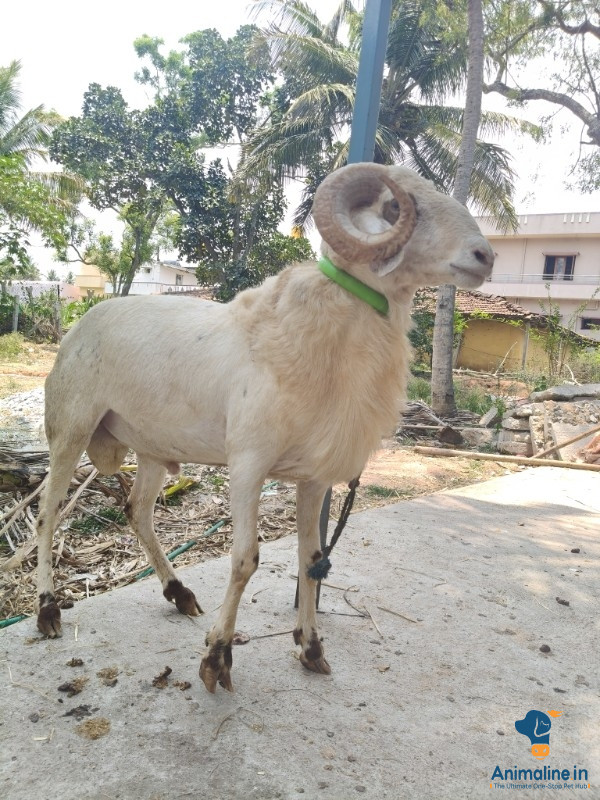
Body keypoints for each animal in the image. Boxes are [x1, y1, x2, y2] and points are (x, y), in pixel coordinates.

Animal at [34, 162, 494, 692]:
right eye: (395, 207)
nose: (485, 256)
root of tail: (81, 321)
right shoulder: (248, 464)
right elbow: (244, 560)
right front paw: (217, 658)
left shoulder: (315, 478)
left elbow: (311, 562)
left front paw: (311, 647)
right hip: (70, 427)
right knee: (48, 515)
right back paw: (48, 610)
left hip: (150, 446)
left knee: (138, 513)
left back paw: (179, 592)